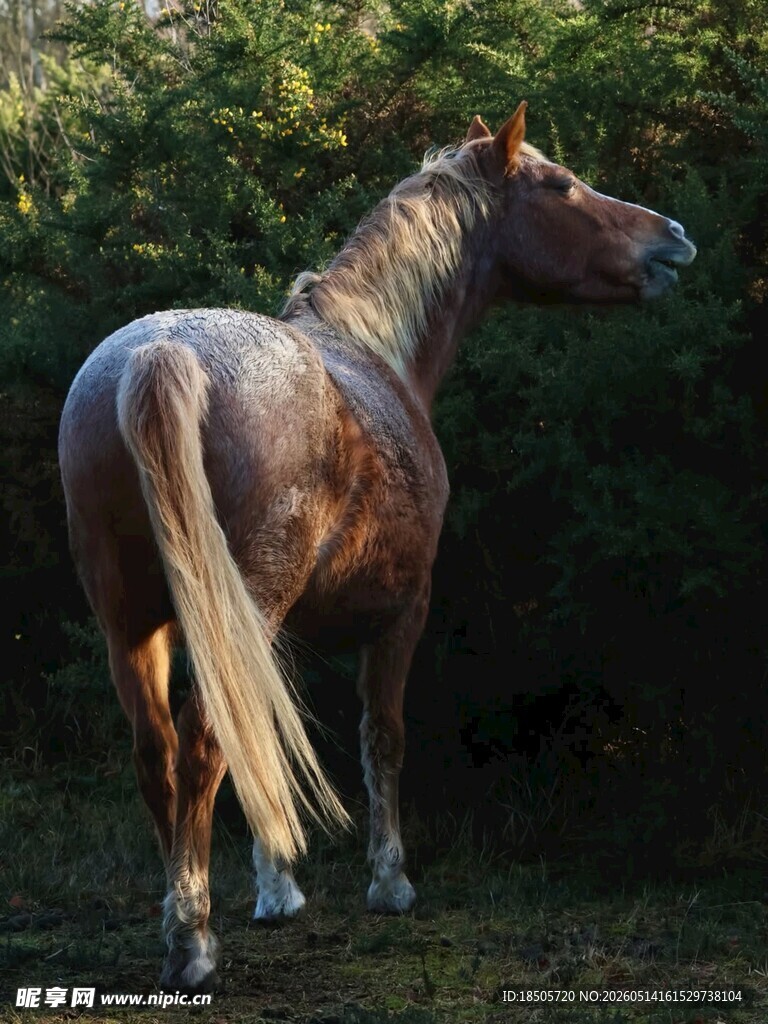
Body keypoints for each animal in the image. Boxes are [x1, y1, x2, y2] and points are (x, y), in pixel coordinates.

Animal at [58, 103, 696, 992]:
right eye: (562, 185)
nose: (674, 237)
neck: (374, 355)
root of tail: (158, 357)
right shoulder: (403, 611)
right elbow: (380, 737)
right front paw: (389, 881)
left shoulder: (262, 636)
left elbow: (270, 733)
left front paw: (278, 888)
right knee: (204, 744)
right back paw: (193, 941)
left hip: (132, 625)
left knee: (159, 749)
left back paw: (179, 921)